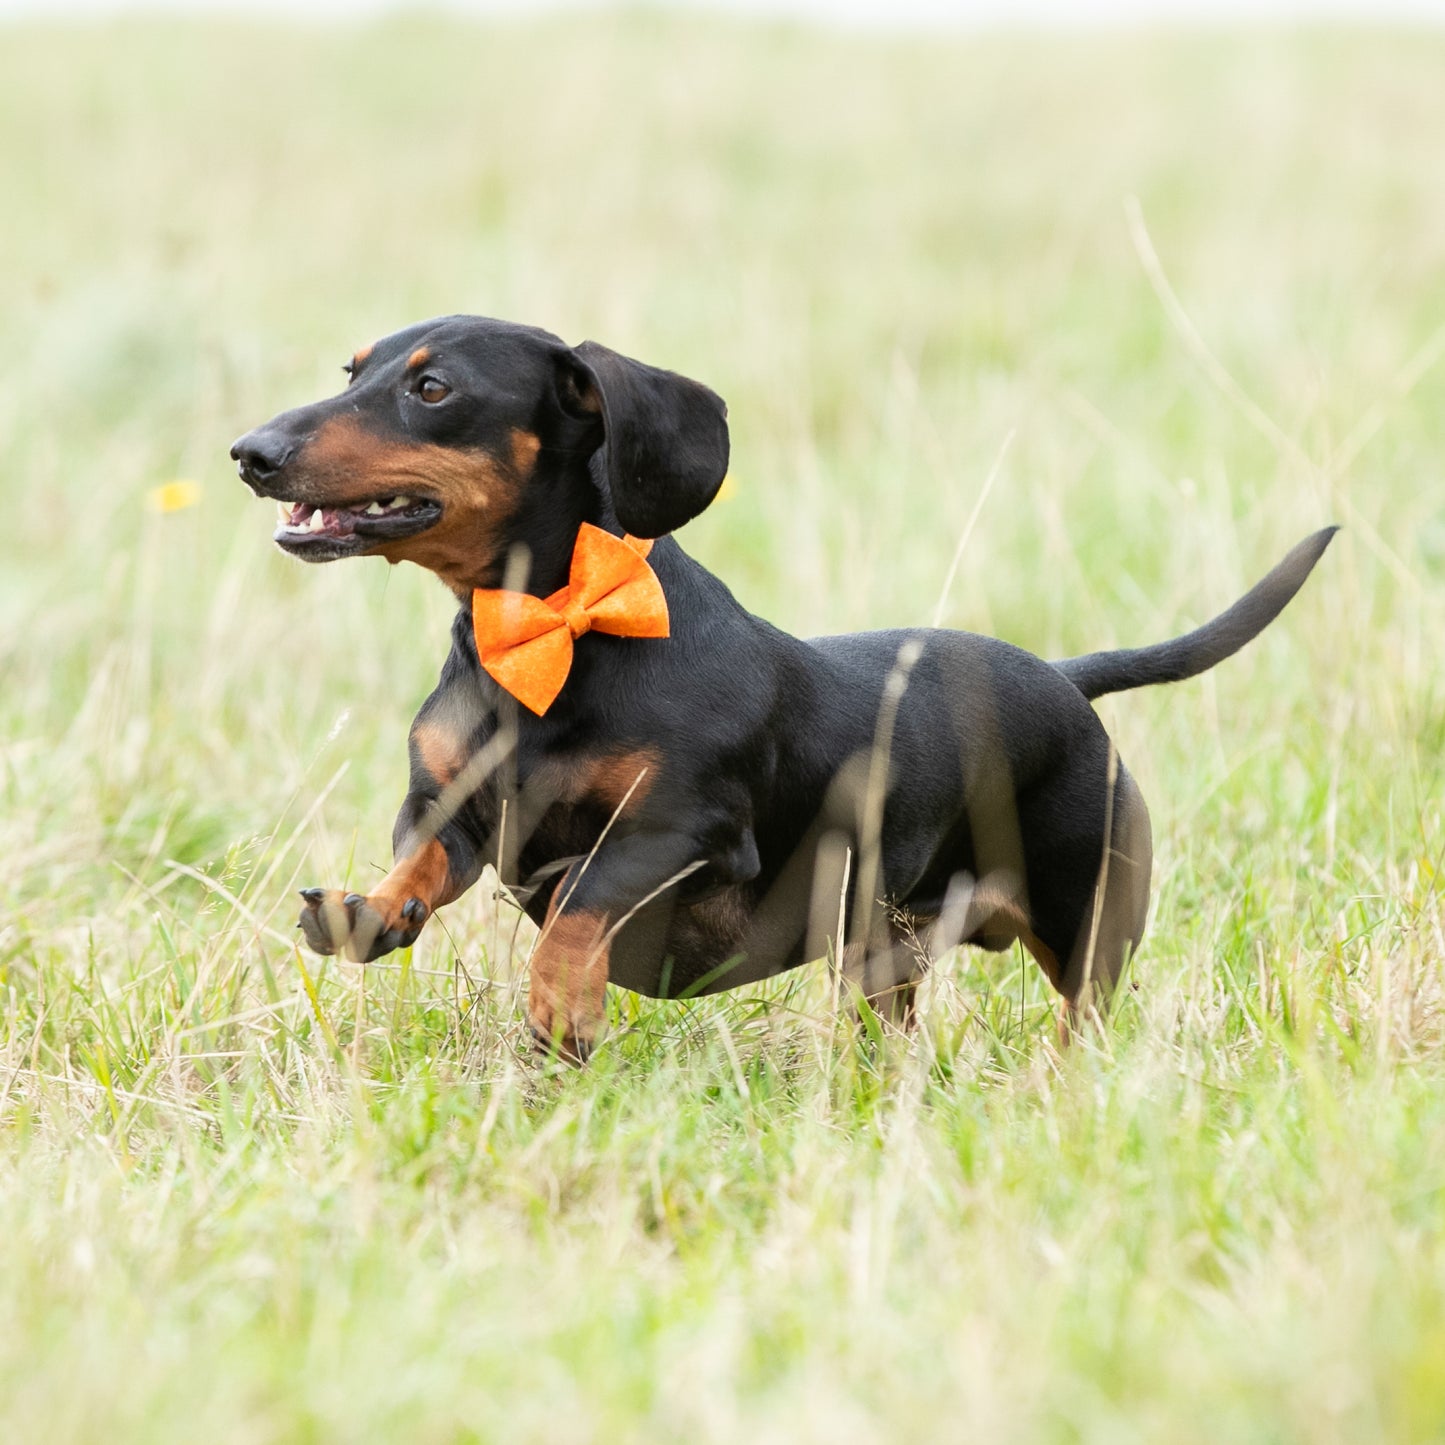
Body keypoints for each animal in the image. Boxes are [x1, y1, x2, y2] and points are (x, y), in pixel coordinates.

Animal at [234, 319, 1329, 1063]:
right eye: (353, 372)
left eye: (431, 386)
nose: (250, 452)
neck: (553, 636)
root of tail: (1064, 682)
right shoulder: (451, 808)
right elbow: (419, 864)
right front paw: (367, 913)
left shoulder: (684, 828)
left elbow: (581, 907)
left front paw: (562, 1007)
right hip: (883, 953)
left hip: (1082, 923)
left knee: (1086, 1013)